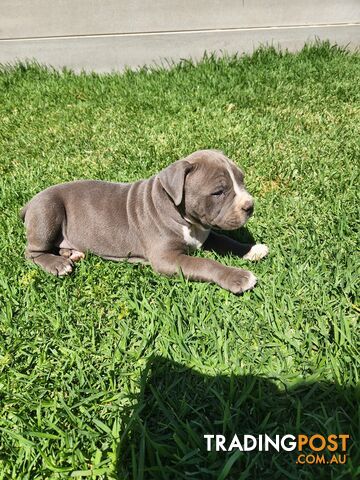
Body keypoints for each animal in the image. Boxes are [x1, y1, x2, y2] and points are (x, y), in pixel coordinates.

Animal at [20, 150, 268, 292]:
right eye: (218, 192)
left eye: (242, 180)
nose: (250, 206)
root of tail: (29, 203)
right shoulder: (166, 258)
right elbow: (205, 263)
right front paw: (238, 277)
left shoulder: (205, 234)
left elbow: (225, 240)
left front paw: (252, 249)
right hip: (47, 211)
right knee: (32, 252)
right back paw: (58, 264)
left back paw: (71, 253)